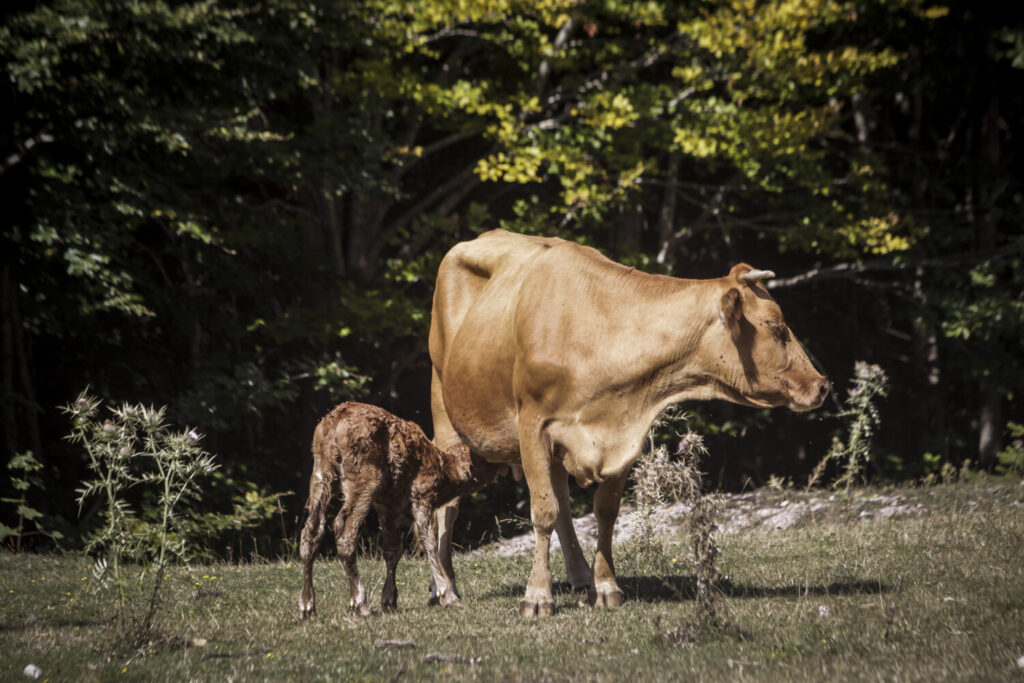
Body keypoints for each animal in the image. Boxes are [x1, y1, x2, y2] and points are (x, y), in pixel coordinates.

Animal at [296, 401, 499, 618]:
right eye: (482, 459)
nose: (499, 464)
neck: (442, 470)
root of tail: (334, 422)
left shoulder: (388, 509)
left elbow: (393, 549)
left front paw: (389, 600)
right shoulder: (421, 497)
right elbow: (428, 542)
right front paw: (448, 595)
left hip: (321, 474)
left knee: (312, 530)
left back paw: (307, 606)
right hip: (364, 481)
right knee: (345, 531)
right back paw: (360, 603)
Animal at [428, 227, 827, 618]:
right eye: (777, 328)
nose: (822, 385)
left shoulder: (622, 432)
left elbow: (604, 512)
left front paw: (605, 587)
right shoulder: (533, 425)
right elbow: (543, 511)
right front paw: (537, 597)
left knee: (561, 498)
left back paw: (580, 576)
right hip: (443, 411)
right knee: (448, 506)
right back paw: (444, 589)